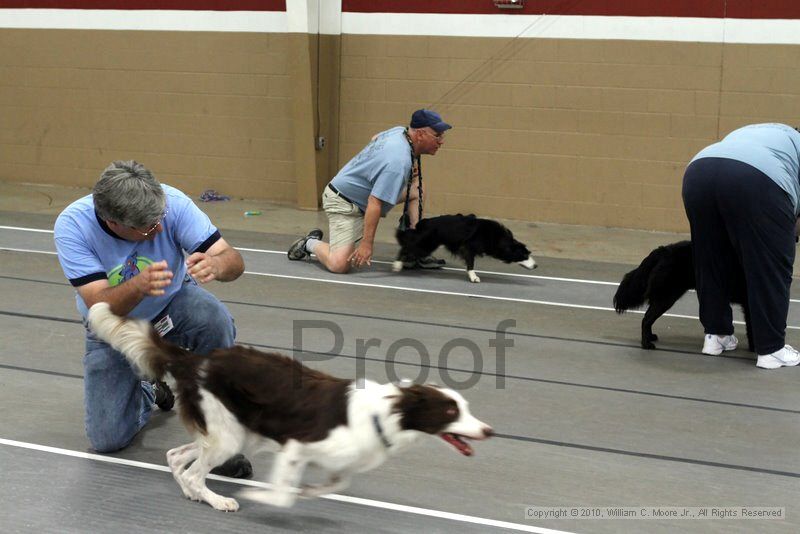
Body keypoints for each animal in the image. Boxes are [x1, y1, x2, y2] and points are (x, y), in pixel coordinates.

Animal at [394, 214, 536, 282]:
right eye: (524, 255)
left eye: (529, 253)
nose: (536, 266)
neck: (498, 238)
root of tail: (424, 222)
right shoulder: (468, 247)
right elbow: (471, 263)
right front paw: (473, 277)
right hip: (427, 244)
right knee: (407, 246)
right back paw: (397, 265)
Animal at [612, 242, 752, 352]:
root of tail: (662, 251)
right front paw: (753, 349)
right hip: (666, 297)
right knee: (646, 319)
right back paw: (646, 344)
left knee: (648, 318)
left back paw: (650, 337)